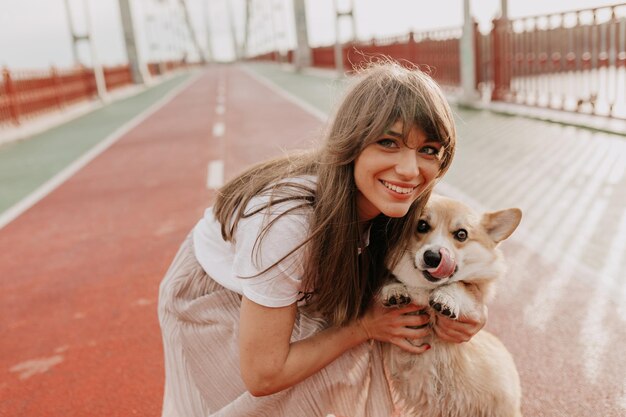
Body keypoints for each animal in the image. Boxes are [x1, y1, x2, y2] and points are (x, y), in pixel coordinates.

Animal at [380, 195, 520, 416]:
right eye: (421, 225)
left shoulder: (471, 295)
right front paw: (393, 290)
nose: (433, 257)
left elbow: (459, 285)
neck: (425, 289)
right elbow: (391, 280)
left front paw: (445, 299)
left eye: (461, 234)